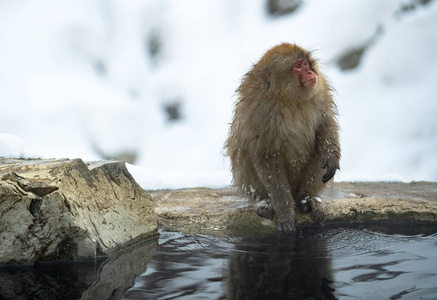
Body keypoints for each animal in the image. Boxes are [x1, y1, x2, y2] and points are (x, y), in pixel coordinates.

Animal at [225, 43, 340, 233]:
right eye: (298, 66)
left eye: (305, 63)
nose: (310, 72)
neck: (289, 98)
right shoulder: (260, 109)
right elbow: (266, 156)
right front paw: (285, 211)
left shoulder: (320, 89)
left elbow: (325, 124)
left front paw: (331, 157)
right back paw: (267, 204)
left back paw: (306, 200)